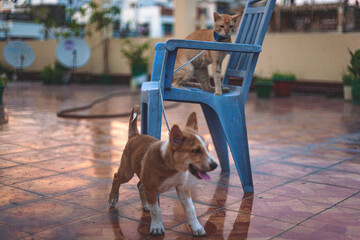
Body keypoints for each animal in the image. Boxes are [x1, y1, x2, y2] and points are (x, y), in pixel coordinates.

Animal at [108, 105, 218, 236]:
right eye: (196, 151)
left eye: (207, 148)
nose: (215, 165)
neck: (171, 168)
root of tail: (135, 135)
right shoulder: (151, 189)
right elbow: (156, 210)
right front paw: (157, 226)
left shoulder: (183, 188)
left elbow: (190, 209)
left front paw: (196, 227)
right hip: (127, 173)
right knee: (116, 177)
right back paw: (113, 198)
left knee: (140, 185)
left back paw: (146, 205)